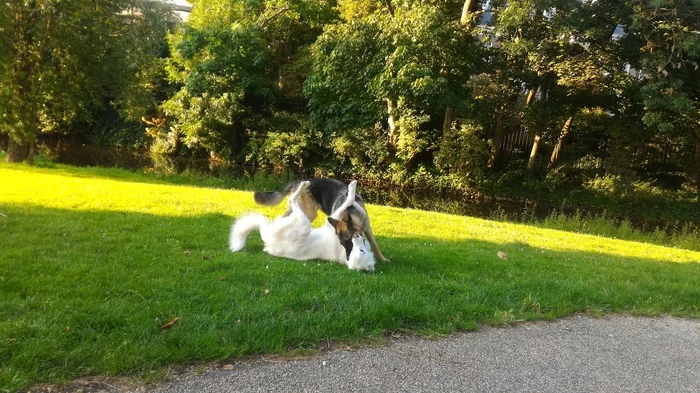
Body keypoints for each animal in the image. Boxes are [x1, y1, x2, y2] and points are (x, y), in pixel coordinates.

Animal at [228, 180, 378, 270]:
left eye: (361, 251)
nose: (357, 237)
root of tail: (267, 238)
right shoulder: (335, 219)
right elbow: (349, 202)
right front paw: (352, 191)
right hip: (305, 219)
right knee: (291, 201)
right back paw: (303, 185)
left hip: (302, 220)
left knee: (290, 204)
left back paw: (303, 185)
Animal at [254, 179, 392, 262]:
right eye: (342, 242)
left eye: (347, 241)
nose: (348, 258)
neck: (352, 213)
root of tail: (297, 181)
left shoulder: (367, 228)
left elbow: (375, 245)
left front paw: (382, 258)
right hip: (309, 213)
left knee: (283, 217)